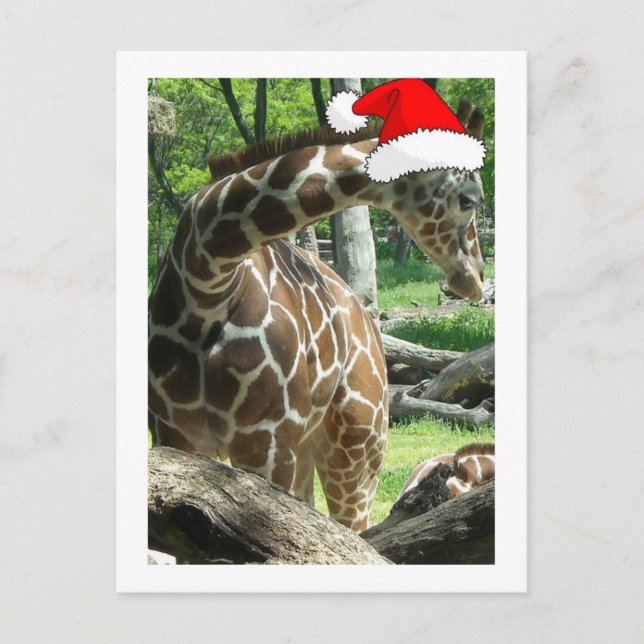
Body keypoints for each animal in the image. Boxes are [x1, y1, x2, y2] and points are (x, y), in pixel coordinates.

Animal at [149, 121, 487, 533]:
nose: (476, 278)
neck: (207, 282)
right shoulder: (171, 434)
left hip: (357, 450)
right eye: (468, 200)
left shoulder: (266, 441)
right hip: (310, 449)